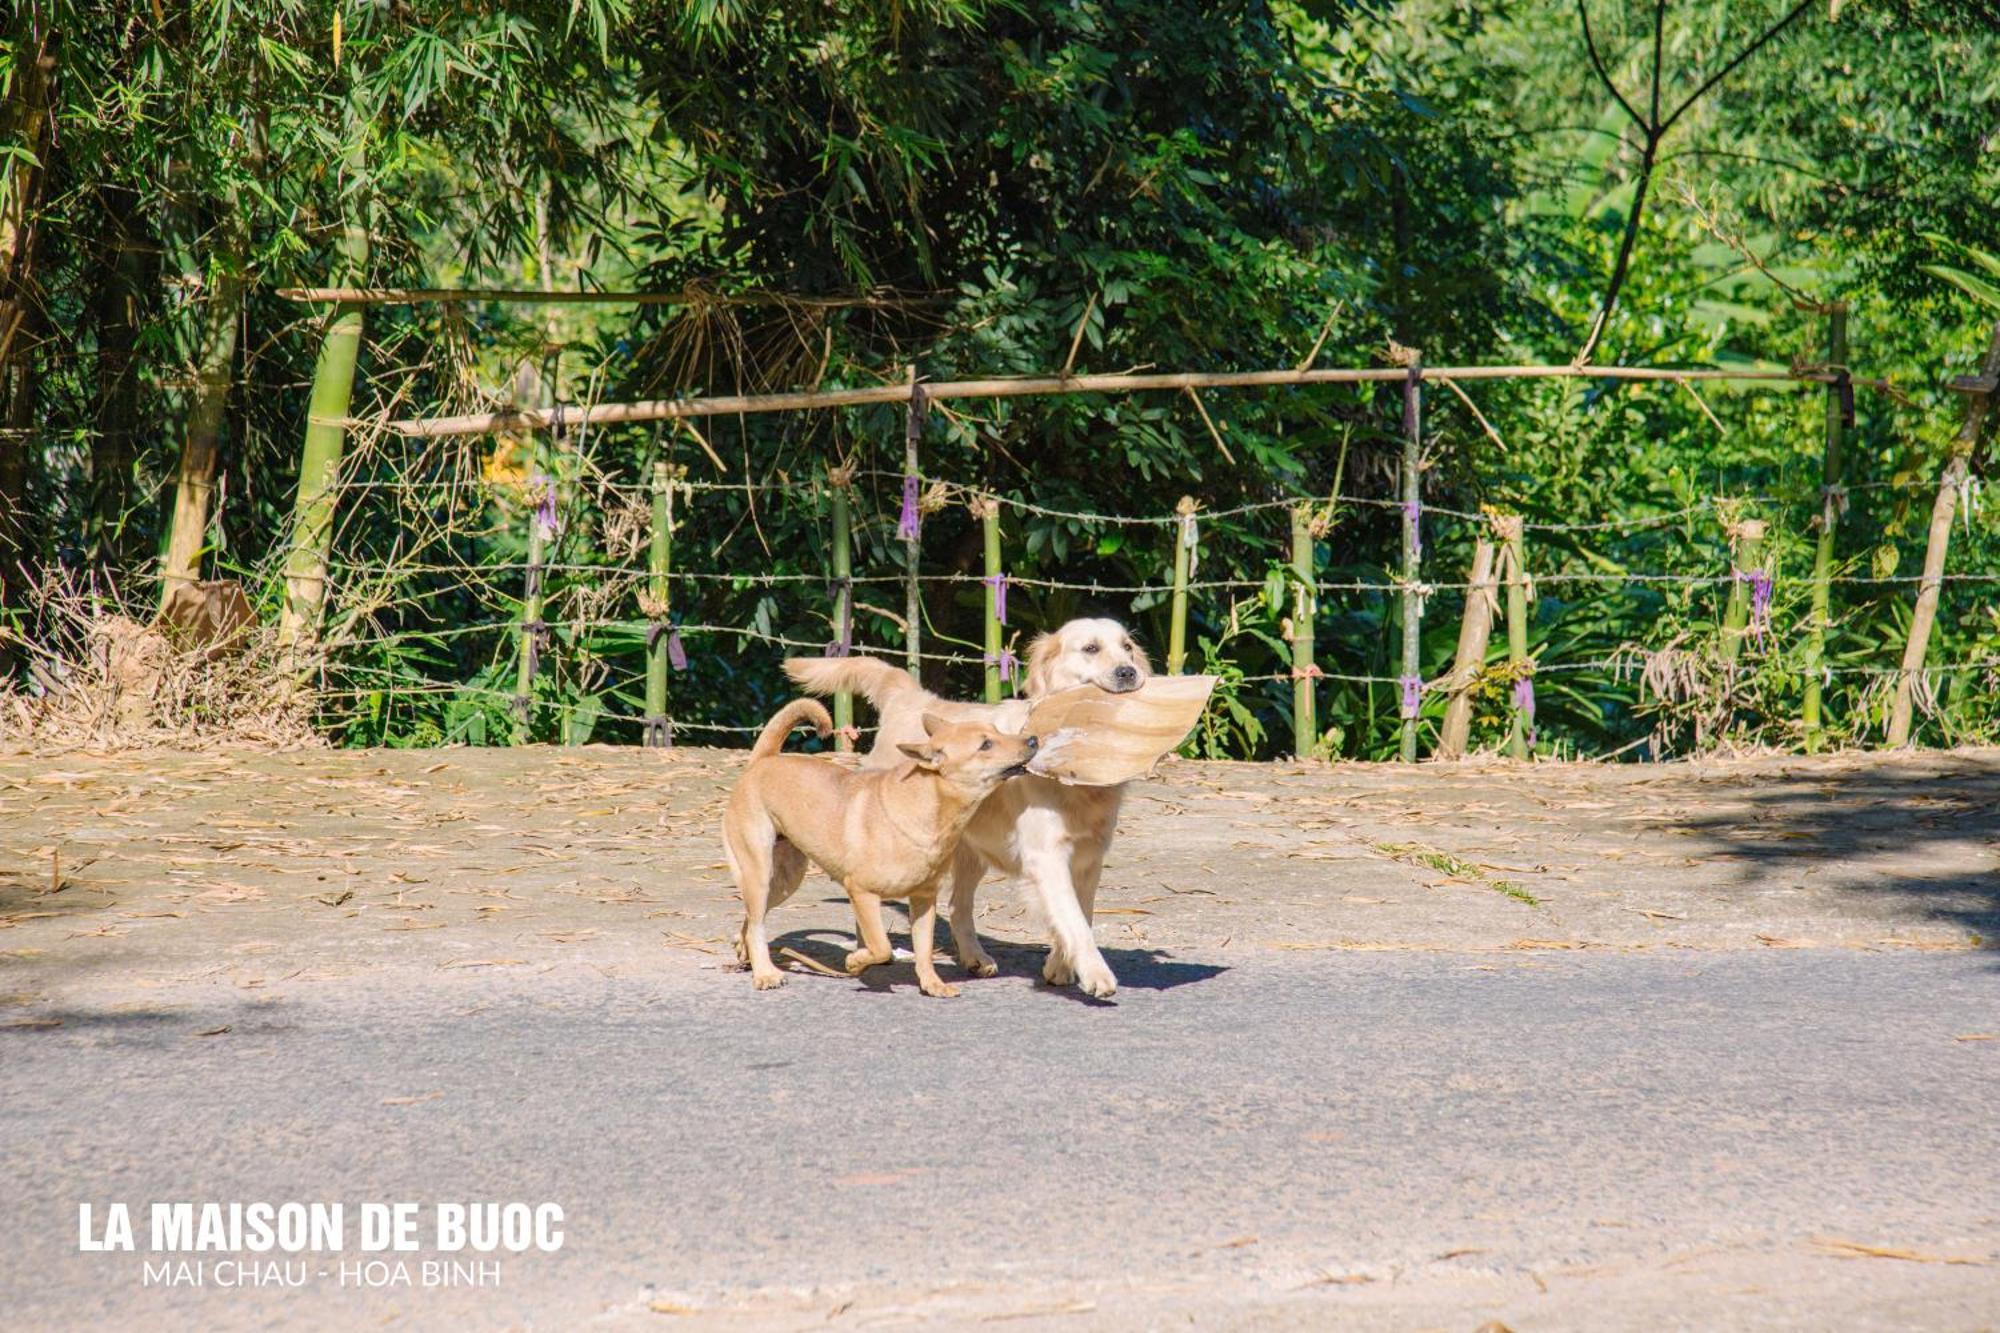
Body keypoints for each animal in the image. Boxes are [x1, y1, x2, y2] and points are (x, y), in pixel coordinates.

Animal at [724, 700, 1032, 992]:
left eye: (996, 731)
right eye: (985, 744)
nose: (1032, 740)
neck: (925, 806)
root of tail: (763, 760)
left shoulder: (924, 899)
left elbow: (923, 950)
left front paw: (932, 984)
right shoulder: (861, 892)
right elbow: (881, 947)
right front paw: (855, 962)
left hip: (784, 881)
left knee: (752, 919)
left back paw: (745, 953)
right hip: (759, 873)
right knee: (756, 924)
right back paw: (766, 973)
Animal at [784, 616, 1152, 992]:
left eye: (1127, 647)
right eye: (1091, 648)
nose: (1129, 671)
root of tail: (910, 696)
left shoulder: (1089, 857)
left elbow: (1082, 915)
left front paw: (1060, 966)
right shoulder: (1046, 856)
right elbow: (1074, 921)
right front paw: (1096, 974)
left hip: (968, 852)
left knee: (957, 906)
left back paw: (975, 957)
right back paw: (868, 951)